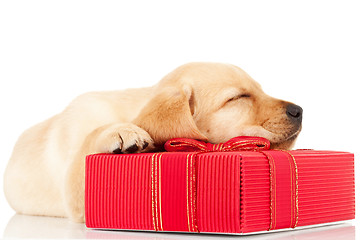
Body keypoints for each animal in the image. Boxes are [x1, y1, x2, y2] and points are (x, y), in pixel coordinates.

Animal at [4, 62, 302, 223]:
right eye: (238, 98)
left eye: (260, 90)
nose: (299, 110)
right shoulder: (75, 195)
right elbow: (93, 134)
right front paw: (122, 131)